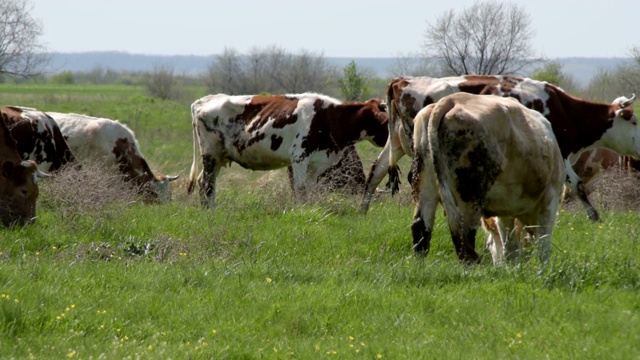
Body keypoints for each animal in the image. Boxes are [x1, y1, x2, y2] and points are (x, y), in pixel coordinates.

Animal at [188, 92, 388, 208]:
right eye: (387, 121)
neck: (330, 117)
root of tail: (202, 101)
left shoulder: (318, 162)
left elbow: (311, 190)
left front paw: (311, 209)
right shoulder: (299, 157)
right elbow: (299, 188)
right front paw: (301, 211)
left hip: (219, 157)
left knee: (203, 182)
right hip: (210, 153)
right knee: (207, 184)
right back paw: (210, 212)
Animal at [362, 75, 640, 224]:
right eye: (634, 121)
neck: (563, 110)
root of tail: (402, 81)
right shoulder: (559, 152)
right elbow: (577, 186)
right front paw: (595, 217)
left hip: (396, 143)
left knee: (375, 171)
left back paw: (361, 210)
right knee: (414, 179)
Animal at [410, 93, 564, 264]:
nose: (498, 265)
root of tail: (453, 99)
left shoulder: (506, 211)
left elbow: (510, 247)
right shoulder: (549, 200)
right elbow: (543, 245)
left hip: (424, 185)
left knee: (421, 229)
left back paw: (420, 265)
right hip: (470, 195)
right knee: (465, 240)